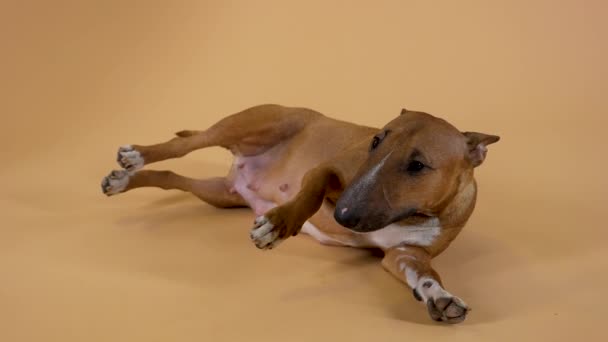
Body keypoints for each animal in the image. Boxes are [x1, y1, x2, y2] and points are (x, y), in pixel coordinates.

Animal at [101, 104, 498, 324]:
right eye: (375, 141)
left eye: (418, 165)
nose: (343, 214)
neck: (412, 215)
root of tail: (240, 168)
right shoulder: (328, 170)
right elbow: (310, 191)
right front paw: (278, 225)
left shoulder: (405, 254)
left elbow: (425, 274)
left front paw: (440, 297)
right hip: (253, 124)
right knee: (184, 143)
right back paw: (135, 155)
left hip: (219, 195)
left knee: (172, 179)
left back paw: (124, 180)